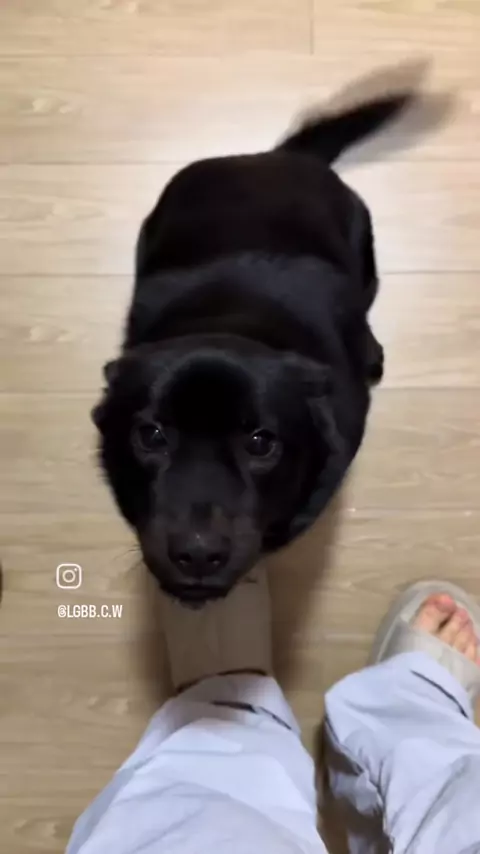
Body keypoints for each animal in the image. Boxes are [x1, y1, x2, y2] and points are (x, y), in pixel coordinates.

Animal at [93, 90, 411, 605]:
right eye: (151, 435)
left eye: (261, 442)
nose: (197, 553)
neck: (230, 316)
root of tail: (278, 156)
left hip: (366, 251)